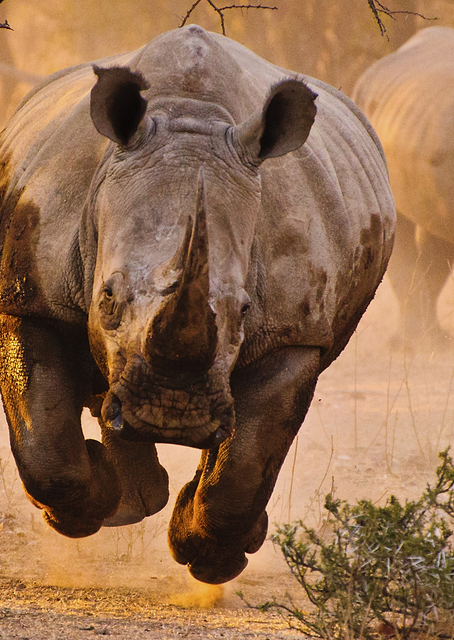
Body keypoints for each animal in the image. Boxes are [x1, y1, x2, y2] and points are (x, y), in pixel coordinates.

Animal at [0, 25, 395, 584]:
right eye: (107, 298)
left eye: (245, 311)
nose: (172, 414)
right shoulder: (30, 293)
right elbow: (45, 444)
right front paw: (84, 509)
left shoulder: (295, 334)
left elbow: (245, 464)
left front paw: (208, 557)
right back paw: (130, 503)